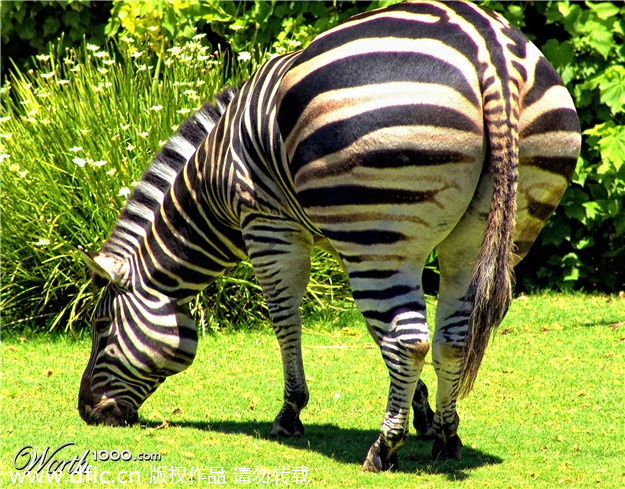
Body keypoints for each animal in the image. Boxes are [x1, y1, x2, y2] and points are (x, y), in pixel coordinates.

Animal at [78, 0, 580, 472]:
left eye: (100, 326)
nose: (87, 413)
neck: (214, 179)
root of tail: (486, 46)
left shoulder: (270, 226)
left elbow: (285, 319)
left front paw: (289, 413)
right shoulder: (340, 237)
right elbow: (374, 330)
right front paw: (422, 413)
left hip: (381, 233)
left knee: (410, 339)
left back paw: (382, 449)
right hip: (472, 233)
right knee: (453, 336)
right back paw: (446, 438)